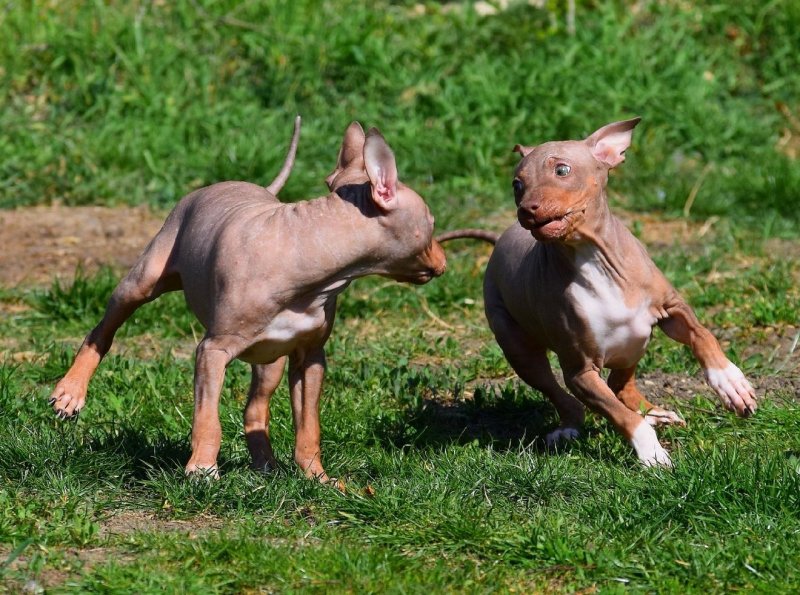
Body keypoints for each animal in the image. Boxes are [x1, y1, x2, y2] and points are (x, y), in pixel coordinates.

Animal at [50, 117, 446, 484]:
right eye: (432, 221)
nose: (444, 261)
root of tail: (246, 185)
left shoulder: (311, 358)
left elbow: (309, 426)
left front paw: (317, 477)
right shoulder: (211, 352)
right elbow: (207, 419)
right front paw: (202, 470)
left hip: (270, 360)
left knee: (255, 410)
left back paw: (266, 467)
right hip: (143, 279)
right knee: (104, 329)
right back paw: (70, 392)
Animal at [482, 118, 756, 468]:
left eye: (562, 170)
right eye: (517, 184)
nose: (527, 210)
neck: (594, 257)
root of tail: (499, 239)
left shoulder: (672, 309)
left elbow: (702, 335)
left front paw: (731, 383)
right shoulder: (580, 372)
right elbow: (620, 415)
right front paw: (651, 452)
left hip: (635, 339)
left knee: (619, 383)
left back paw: (656, 413)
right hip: (518, 346)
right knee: (565, 394)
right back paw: (570, 428)